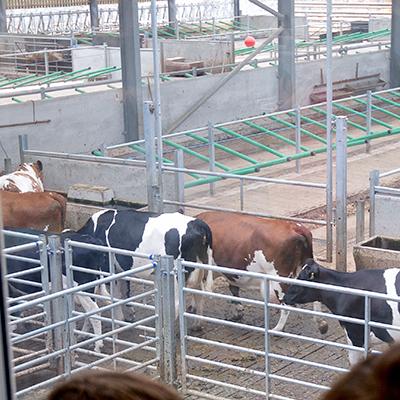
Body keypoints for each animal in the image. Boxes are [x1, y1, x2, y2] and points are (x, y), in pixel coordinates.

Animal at [79, 209, 212, 322]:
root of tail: (198, 223)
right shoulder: (121, 269)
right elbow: (125, 291)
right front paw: (129, 314)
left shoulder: (109, 268)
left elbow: (115, 295)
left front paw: (118, 319)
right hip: (199, 269)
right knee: (199, 295)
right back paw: (198, 324)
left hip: (175, 276)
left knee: (177, 305)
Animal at [197, 212, 328, 334]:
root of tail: (295, 227)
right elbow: (233, 288)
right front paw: (238, 312)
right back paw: (321, 324)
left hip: (279, 278)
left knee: (286, 305)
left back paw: (277, 329)